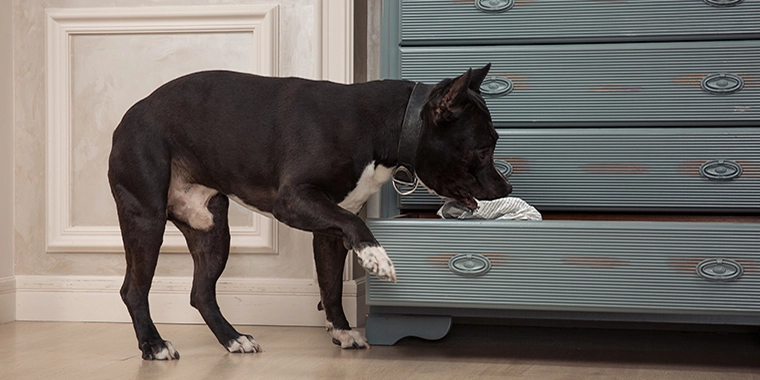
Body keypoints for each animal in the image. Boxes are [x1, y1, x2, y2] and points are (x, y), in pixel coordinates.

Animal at [107, 62, 510, 360]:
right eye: (484, 148)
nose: (506, 188)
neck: (389, 125)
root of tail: (128, 117)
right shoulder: (295, 200)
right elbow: (356, 227)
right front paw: (378, 258)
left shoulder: (327, 227)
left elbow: (330, 283)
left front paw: (343, 332)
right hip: (146, 219)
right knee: (134, 289)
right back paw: (154, 345)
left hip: (211, 228)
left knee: (202, 293)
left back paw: (233, 339)